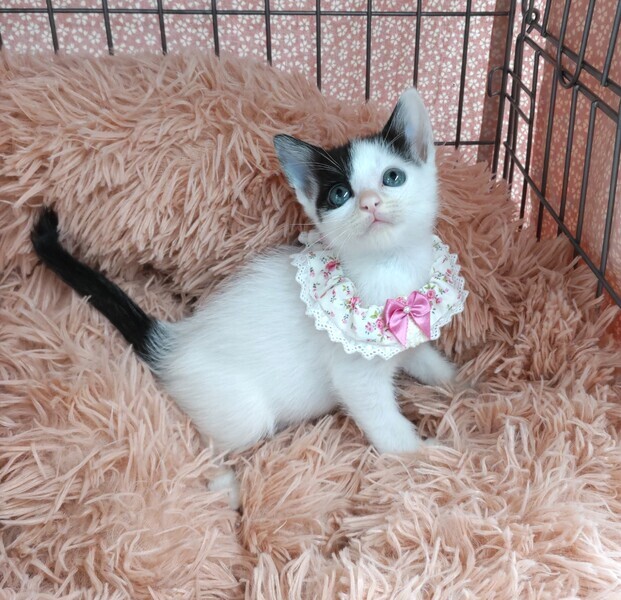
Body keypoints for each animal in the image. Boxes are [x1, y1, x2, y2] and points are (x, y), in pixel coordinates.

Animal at [31, 87, 457, 509]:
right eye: (340, 194)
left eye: (392, 177)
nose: (369, 202)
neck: (390, 267)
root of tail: (173, 342)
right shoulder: (356, 375)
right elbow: (384, 422)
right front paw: (424, 454)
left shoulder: (409, 329)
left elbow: (425, 359)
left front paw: (459, 382)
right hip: (242, 413)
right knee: (204, 445)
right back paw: (225, 484)